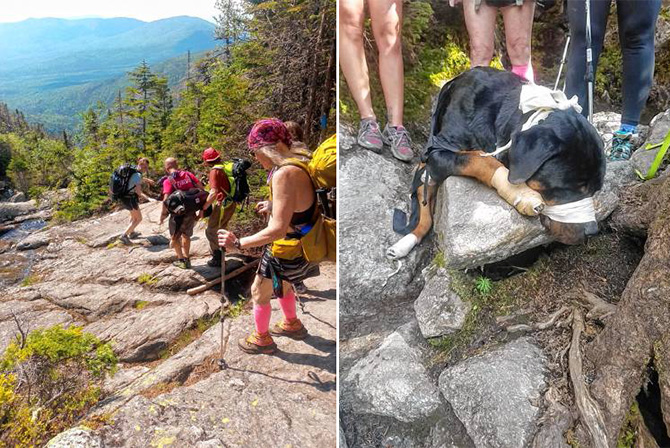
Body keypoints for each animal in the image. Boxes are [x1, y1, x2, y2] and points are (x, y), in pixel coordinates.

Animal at [388, 68, 608, 260]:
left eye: (595, 191)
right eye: (569, 190)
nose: (592, 231)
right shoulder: (439, 152)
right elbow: (479, 159)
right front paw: (521, 195)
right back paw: (404, 244)